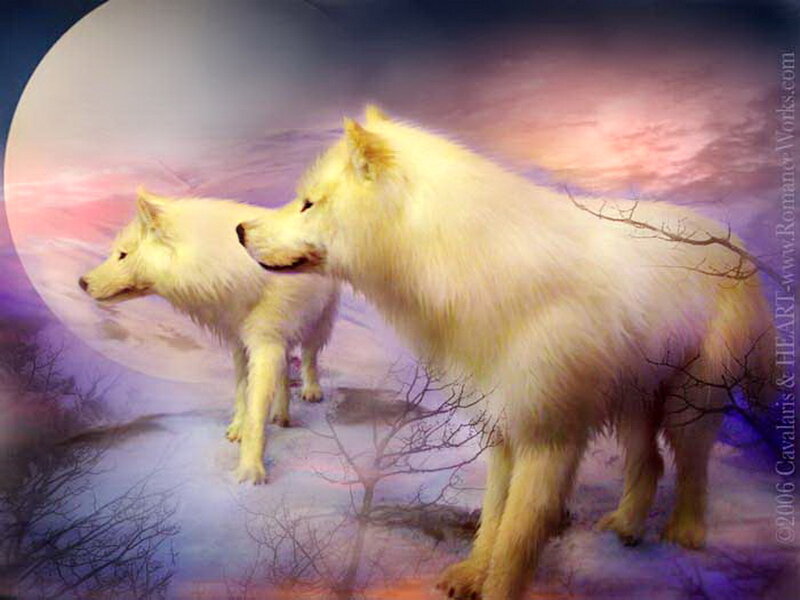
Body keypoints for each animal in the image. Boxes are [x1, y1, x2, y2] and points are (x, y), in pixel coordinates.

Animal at [80, 188, 340, 485]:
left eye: (122, 255)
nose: (82, 282)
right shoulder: (241, 344)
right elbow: (242, 391)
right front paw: (238, 428)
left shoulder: (265, 346)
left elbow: (256, 412)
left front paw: (250, 473)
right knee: (285, 372)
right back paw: (281, 415)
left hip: (318, 326)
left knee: (309, 357)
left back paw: (310, 392)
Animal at [237, 106, 773, 599]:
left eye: (308, 203)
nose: (241, 229)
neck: (467, 264)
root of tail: (736, 244)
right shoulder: (501, 426)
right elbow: (493, 517)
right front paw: (473, 574)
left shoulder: (549, 439)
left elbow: (516, 538)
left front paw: (495, 585)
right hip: (633, 402)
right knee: (651, 465)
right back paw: (625, 529)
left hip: (689, 405)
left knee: (691, 467)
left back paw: (685, 536)